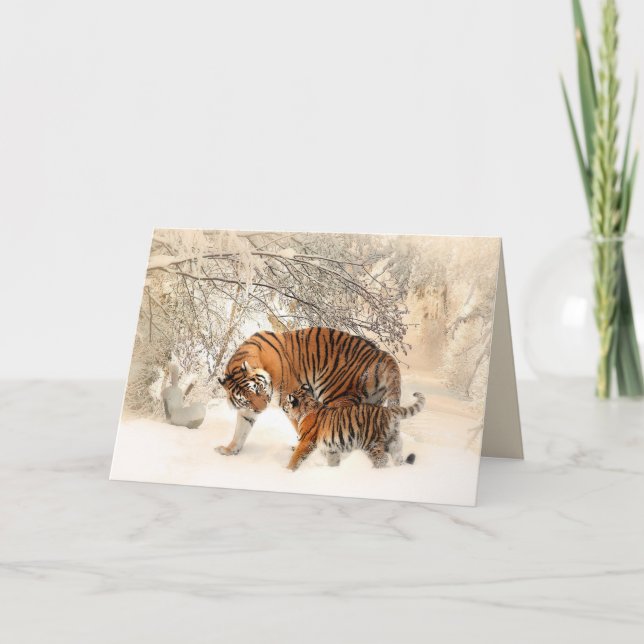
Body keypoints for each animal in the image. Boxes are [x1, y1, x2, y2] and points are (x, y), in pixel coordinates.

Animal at [216, 327, 401, 456]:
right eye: (246, 399)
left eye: (258, 390)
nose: (262, 409)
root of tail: (380, 354)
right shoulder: (247, 410)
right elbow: (241, 428)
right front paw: (230, 449)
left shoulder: (290, 399)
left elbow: (302, 428)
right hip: (370, 403)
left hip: (337, 396)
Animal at [281, 385, 425, 471]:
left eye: (287, 402)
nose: (282, 407)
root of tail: (388, 410)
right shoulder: (332, 448)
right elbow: (333, 460)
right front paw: (333, 471)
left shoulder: (306, 441)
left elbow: (296, 457)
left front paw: (287, 471)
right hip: (393, 441)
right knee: (397, 457)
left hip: (370, 443)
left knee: (382, 459)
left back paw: (375, 472)